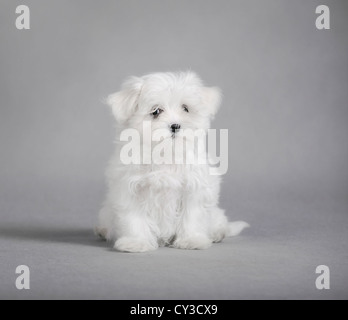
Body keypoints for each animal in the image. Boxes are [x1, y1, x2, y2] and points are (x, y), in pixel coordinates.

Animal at [95, 70, 247, 252]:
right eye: (156, 111)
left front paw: (192, 240)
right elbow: (134, 218)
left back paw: (218, 233)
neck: (166, 153)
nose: (175, 125)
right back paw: (103, 230)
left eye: (185, 108)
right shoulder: (130, 189)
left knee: (219, 221)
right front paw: (136, 242)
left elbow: (192, 215)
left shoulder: (194, 187)